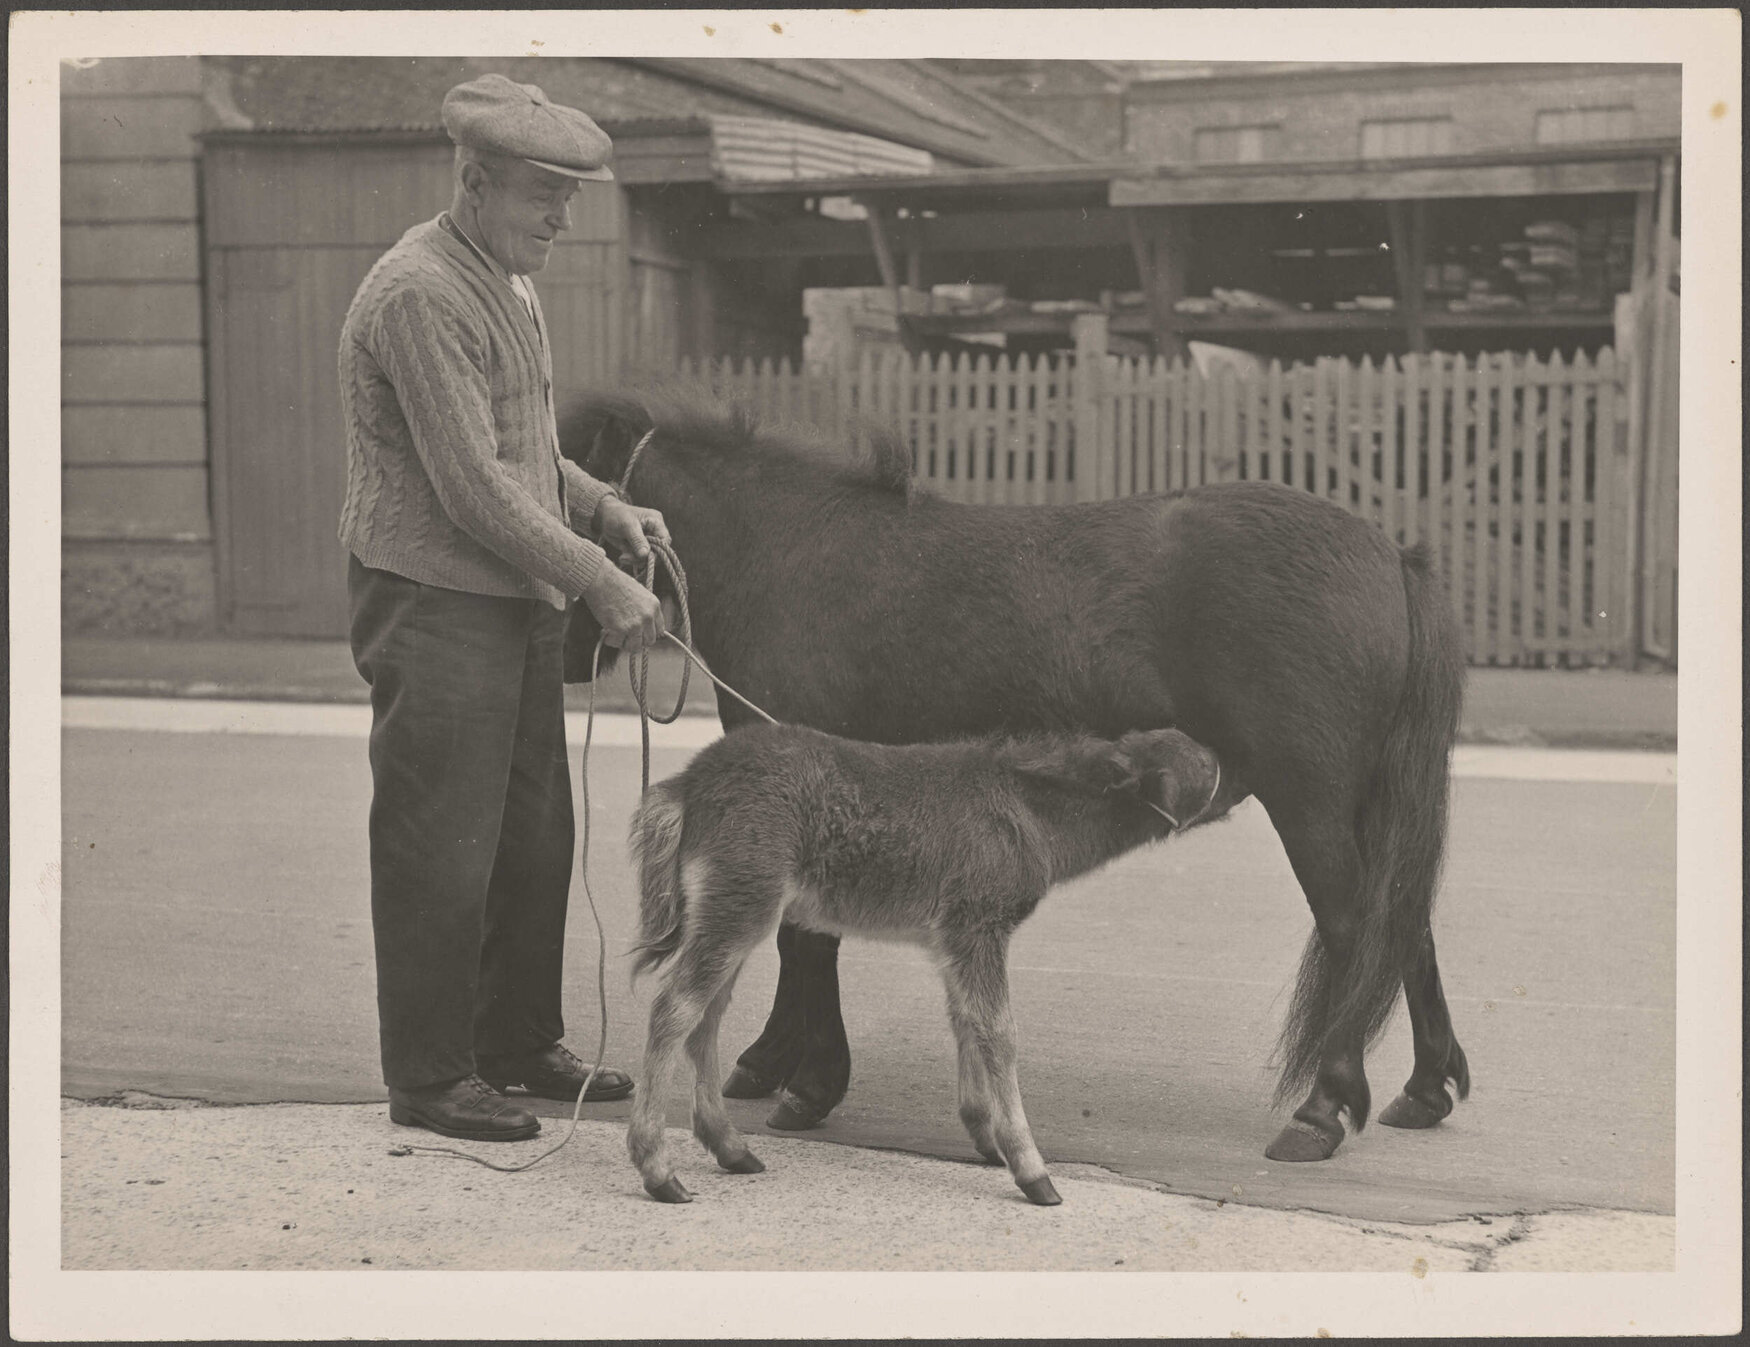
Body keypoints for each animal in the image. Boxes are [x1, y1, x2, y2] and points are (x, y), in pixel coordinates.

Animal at [626, 723, 1238, 1205]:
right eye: (1206, 767)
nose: (1238, 781)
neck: (1030, 812)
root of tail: (688, 785)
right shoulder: (978, 922)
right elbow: (999, 1031)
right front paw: (1030, 1168)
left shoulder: (951, 937)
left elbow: (965, 1019)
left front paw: (984, 1136)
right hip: (742, 898)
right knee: (675, 1008)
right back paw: (658, 1166)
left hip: (730, 905)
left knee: (706, 1015)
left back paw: (729, 1146)